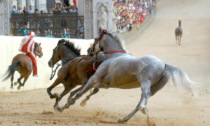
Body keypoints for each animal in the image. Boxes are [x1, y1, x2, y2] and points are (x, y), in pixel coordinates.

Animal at [58, 32, 197, 124]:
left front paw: (64, 105)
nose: (88, 51)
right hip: (155, 88)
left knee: (144, 98)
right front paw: (80, 102)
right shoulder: (104, 83)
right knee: (140, 102)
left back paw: (141, 110)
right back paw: (124, 119)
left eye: (96, 39)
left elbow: (81, 92)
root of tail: (164, 64)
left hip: (145, 82)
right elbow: (88, 90)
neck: (113, 56)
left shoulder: (95, 78)